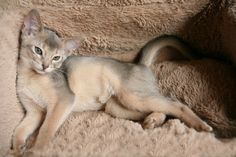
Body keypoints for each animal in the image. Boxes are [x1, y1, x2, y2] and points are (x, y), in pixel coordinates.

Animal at [12, 9, 212, 155]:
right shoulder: (34, 112)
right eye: (38, 50)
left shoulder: (63, 101)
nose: (45, 66)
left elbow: (46, 129)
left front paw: (36, 150)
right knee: (162, 109)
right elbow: (20, 131)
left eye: (56, 58)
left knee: (176, 103)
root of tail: (140, 65)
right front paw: (17, 149)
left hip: (133, 96)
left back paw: (201, 125)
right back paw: (153, 120)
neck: (31, 77)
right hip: (117, 107)